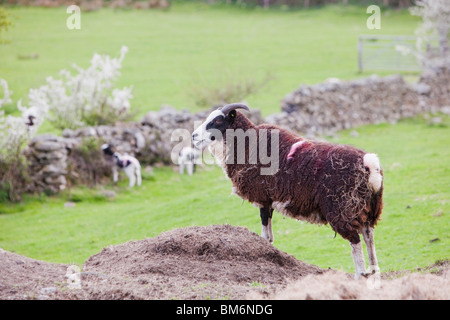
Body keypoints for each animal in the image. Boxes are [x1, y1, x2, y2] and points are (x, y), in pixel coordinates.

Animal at [192, 103, 384, 280]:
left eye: (217, 121)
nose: (193, 136)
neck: (247, 143)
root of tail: (369, 164)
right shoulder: (269, 199)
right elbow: (269, 235)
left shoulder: (263, 197)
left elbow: (264, 231)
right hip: (367, 207)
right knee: (369, 235)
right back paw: (374, 272)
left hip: (342, 207)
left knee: (355, 239)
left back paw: (360, 274)